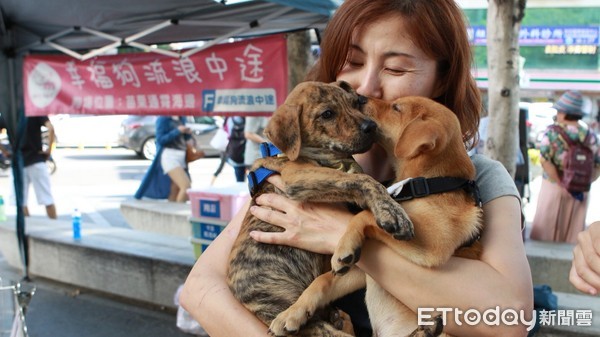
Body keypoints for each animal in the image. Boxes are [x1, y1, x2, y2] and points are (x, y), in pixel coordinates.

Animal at [225, 81, 412, 336]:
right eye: (327, 114)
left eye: (355, 103)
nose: (371, 126)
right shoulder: (298, 175)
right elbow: (362, 180)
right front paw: (391, 210)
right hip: (279, 304)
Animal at [270, 95, 486, 336]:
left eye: (396, 107)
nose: (360, 98)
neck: (430, 183)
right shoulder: (365, 273)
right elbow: (322, 281)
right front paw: (292, 313)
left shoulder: (435, 242)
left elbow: (364, 215)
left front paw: (344, 247)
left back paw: (426, 330)